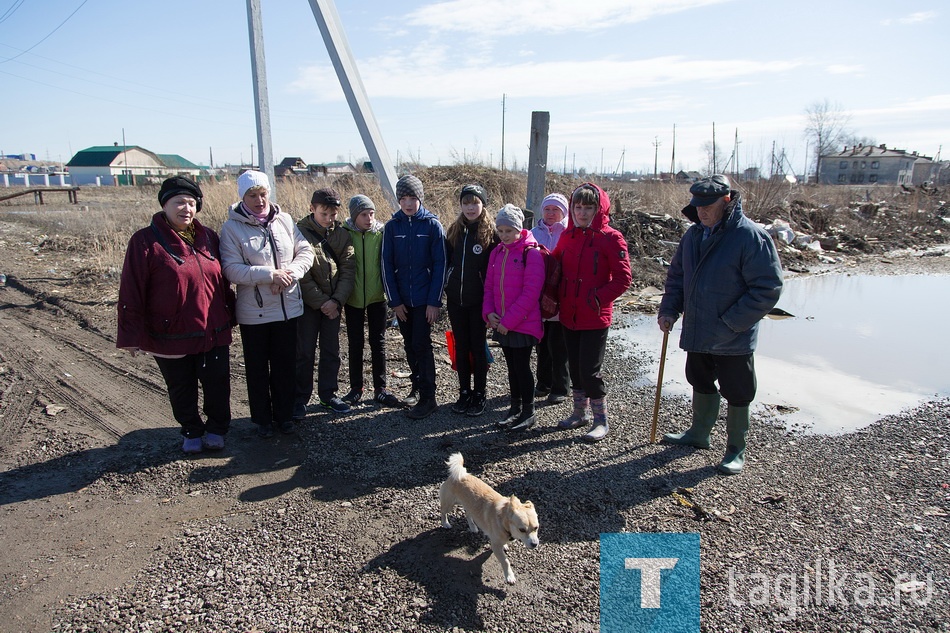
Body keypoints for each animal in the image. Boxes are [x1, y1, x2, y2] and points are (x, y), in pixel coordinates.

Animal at [440, 450, 544, 584]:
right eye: (522, 529)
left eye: (536, 528)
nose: (535, 544)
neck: (504, 520)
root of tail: (459, 474)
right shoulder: (495, 545)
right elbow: (505, 561)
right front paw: (509, 576)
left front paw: (505, 545)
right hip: (449, 504)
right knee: (443, 511)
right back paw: (446, 523)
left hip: (468, 505)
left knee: (468, 514)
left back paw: (473, 527)